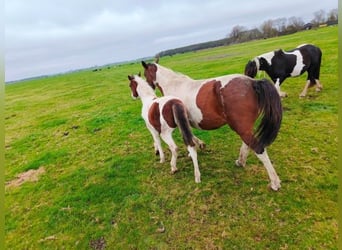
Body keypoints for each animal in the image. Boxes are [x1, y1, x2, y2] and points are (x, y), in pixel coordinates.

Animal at [142, 61, 284, 190]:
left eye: (145, 74)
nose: (149, 88)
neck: (174, 84)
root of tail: (253, 82)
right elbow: (191, 136)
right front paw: (198, 146)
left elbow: (190, 138)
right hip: (245, 128)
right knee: (248, 144)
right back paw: (241, 162)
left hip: (241, 128)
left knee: (259, 149)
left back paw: (275, 183)